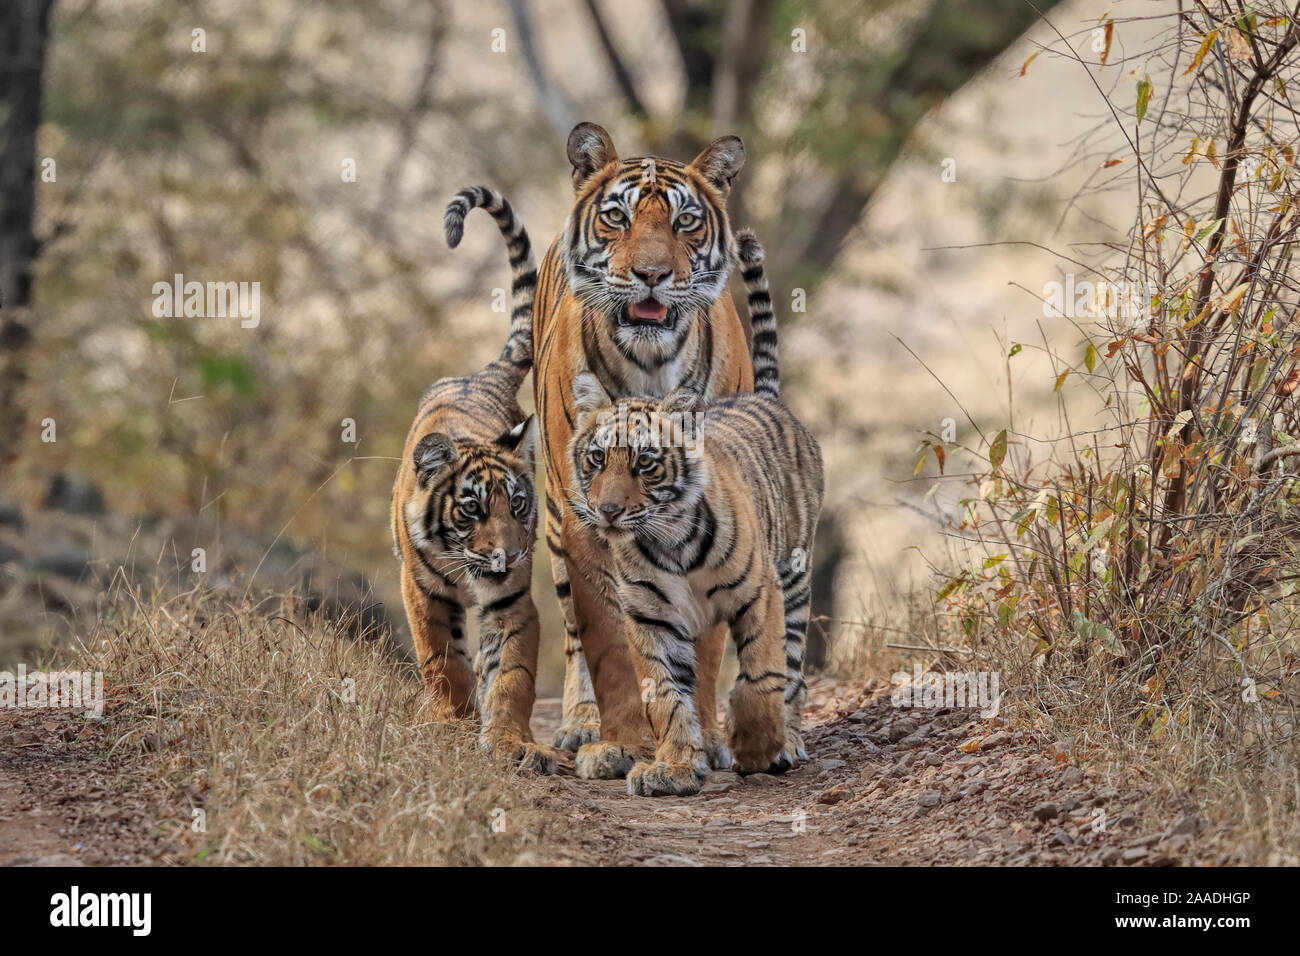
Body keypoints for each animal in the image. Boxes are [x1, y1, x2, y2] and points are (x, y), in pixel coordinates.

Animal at [530, 121, 754, 780]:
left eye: (684, 222)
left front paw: (704, 738)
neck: (652, 364)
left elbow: (704, 647)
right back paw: (580, 726)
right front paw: (622, 744)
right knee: (575, 636)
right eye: (617, 218)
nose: (652, 274)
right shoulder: (584, 520)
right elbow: (608, 643)